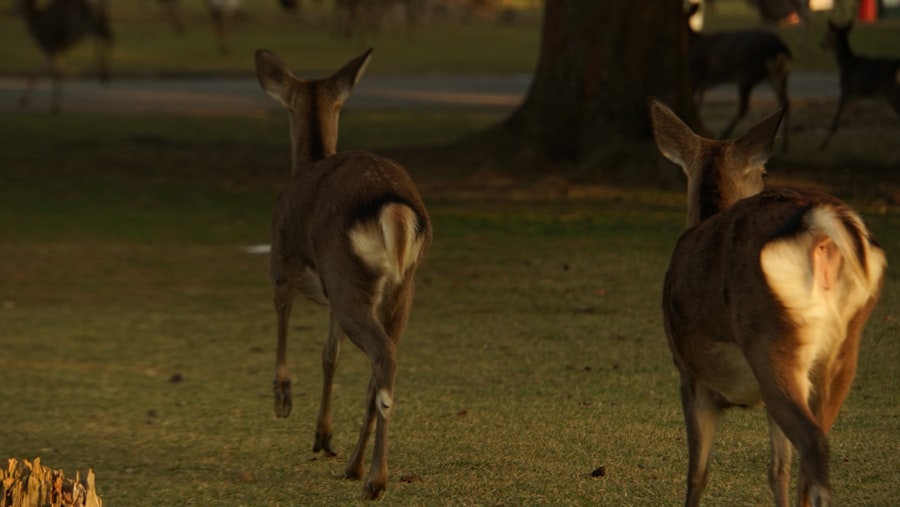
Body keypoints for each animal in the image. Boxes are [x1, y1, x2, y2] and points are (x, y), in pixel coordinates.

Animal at [254, 48, 432, 500]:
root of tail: (396, 210)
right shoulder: (331, 294)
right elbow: (329, 355)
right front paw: (323, 435)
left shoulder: (280, 260)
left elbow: (283, 318)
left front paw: (283, 399)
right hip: (397, 287)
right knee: (383, 361)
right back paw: (355, 466)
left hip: (346, 274)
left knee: (382, 355)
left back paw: (375, 480)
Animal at [647, 97, 886, 507]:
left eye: (764, 171)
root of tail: (820, 230)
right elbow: (778, 470)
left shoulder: (689, 373)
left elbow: (697, 473)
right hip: (842, 346)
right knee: (810, 454)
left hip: (770, 337)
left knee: (813, 445)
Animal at [686, 3, 792, 152]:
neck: (694, 42)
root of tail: (779, 48)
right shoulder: (705, 80)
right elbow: (700, 99)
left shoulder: (697, 73)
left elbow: (696, 100)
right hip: (780, 75)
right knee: (786, 101)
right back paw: (785, 146)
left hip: (746, 74)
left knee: (744, 107)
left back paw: (725, 134)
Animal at [819, 19, 900, 150]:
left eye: (827, 34)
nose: (821, 44)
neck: (845, 64)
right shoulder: (854, 96)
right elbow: (851, 117)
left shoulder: (845, 90)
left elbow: (836, 119)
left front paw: (822, 145)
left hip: (891, 90)